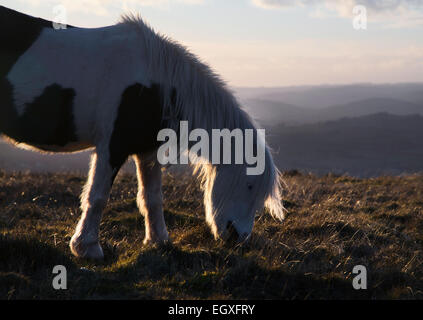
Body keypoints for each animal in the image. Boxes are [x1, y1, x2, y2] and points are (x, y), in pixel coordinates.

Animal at [0, 5, 284, 260]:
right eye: (249, 185)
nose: (238, 238)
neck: (154, 84)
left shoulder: (147, 150)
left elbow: (152, 197)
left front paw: (158, 241)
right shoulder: (112, 147)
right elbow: (97, 196)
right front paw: (87, 248)